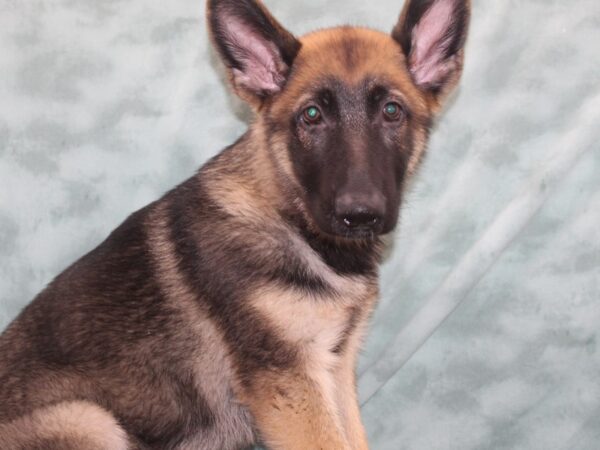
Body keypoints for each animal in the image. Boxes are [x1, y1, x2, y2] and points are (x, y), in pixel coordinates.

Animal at [0, 0, 468, 446]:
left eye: (392, 111)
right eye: (311, 116)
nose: (359, 214)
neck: (290, 222)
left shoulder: (332, 371)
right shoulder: (290, 382)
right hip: (88, 418)